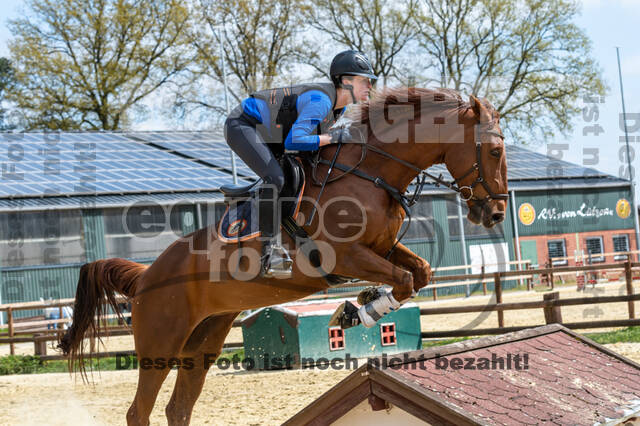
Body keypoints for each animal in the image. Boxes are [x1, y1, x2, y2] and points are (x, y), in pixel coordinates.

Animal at [60, 87, 510, 426]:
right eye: (492, 151)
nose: (495, 213)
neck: (372, 174)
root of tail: (146, 276)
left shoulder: (382, 248)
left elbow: (420, 273)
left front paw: (360, 306)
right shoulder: (344, 257)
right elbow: (403, 279)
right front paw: (356, 311)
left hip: (202, 344)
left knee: (178, 408)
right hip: (161, 344)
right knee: (139, 412)